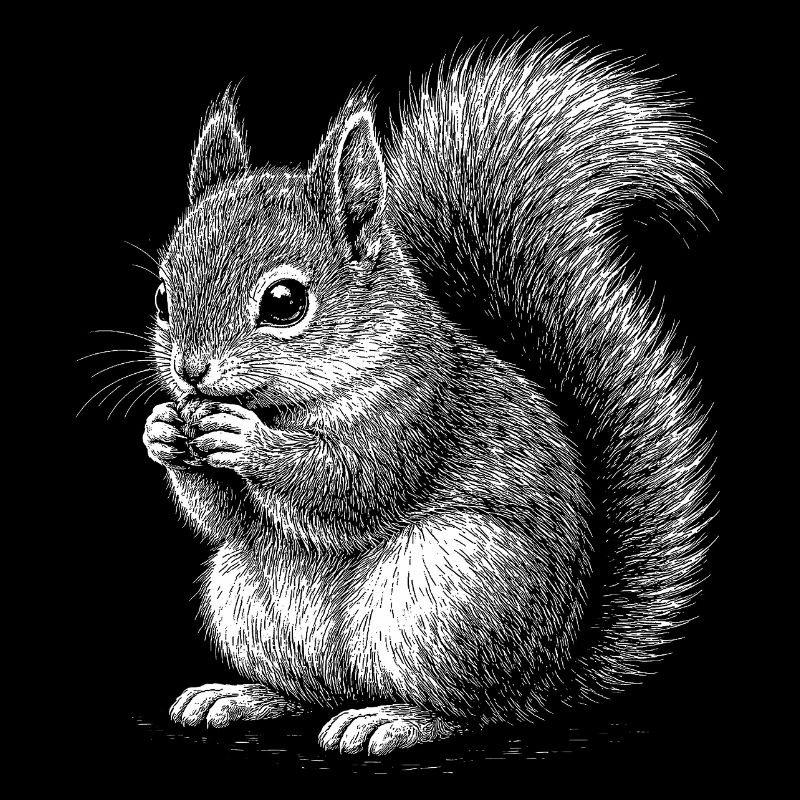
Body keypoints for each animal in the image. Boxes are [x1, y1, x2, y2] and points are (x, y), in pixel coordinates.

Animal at [141, 37, 713, 756]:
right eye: (163, 296)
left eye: (285, 303)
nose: (190, 372)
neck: (290, 400)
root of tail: (547, 683)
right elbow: (227, 520)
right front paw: (163, 431)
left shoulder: (417, 409)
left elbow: (352, 484)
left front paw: (248, 443)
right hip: (245, 602)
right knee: (312, 692)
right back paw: (243, 696)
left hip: (446, 597)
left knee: (471, 711)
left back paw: (392, 720)